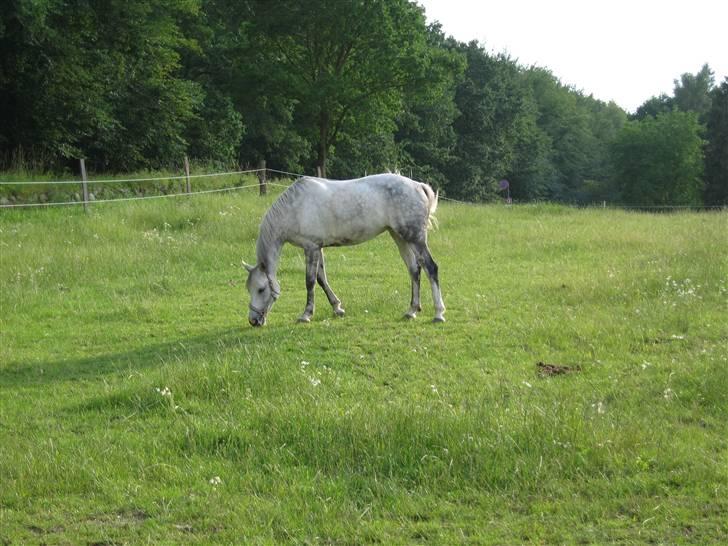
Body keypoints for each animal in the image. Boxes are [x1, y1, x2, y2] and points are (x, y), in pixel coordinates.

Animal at [246, 174, 444, 326]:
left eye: (261, 289)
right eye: (249, 288)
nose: (253, 321)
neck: (295, 208)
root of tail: (418, 186)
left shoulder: (310, 248)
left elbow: (310, 282)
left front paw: (306, 314)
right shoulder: (318, 248)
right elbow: (322, 279)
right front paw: (337, 308)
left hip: (415, 238)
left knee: (430, 268)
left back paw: (439, 313)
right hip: (400, 238)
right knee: (414, 269)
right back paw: (412, 311)